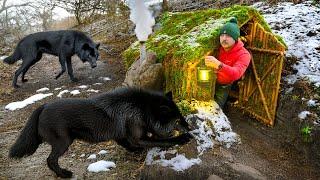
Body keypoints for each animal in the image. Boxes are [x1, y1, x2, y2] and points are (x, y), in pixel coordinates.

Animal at [8, 87, 192, 179]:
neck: (142, 108)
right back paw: (64, 174)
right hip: (63, 142)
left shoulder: (120, 136)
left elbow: (128, 144)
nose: (190, 127)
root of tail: (43, 106)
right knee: (50, 160)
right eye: (177, 120)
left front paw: (135, 151)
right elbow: (162, 140)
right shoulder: (138, 137)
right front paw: (182, 138)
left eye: (182, 117)